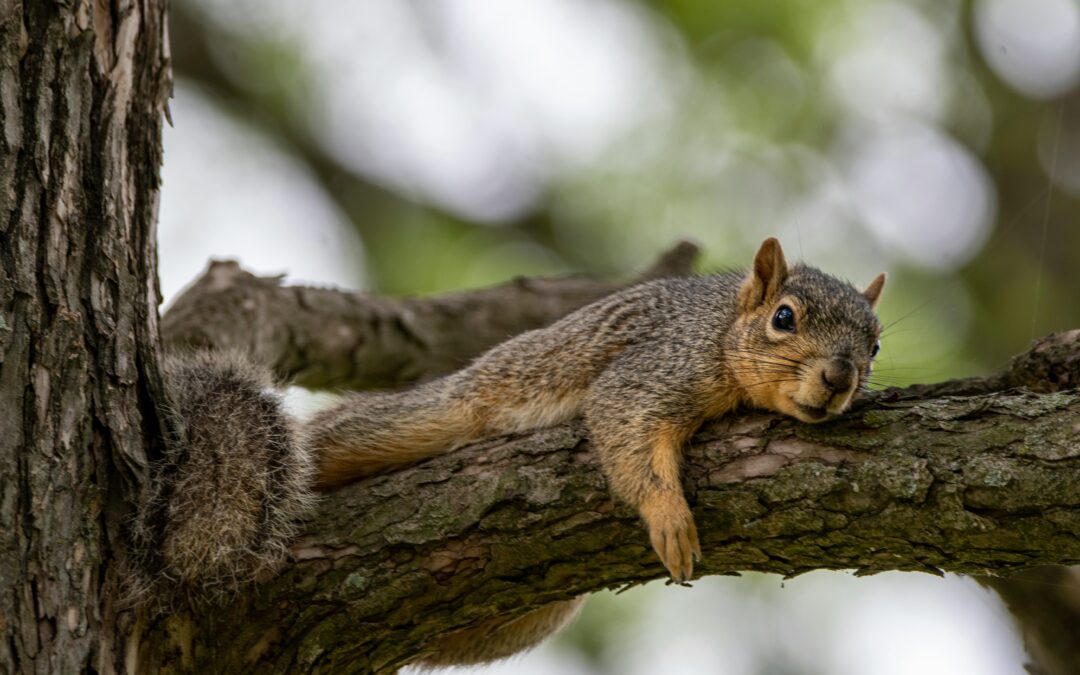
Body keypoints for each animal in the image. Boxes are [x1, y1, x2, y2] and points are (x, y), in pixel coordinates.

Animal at [307, 237, 886, 666]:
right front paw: (669, 517)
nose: (839, 377)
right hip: (447, 409)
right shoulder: (656, 366)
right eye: (784, 318)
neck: (722, 326)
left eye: (875, 346)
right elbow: (625, 422)